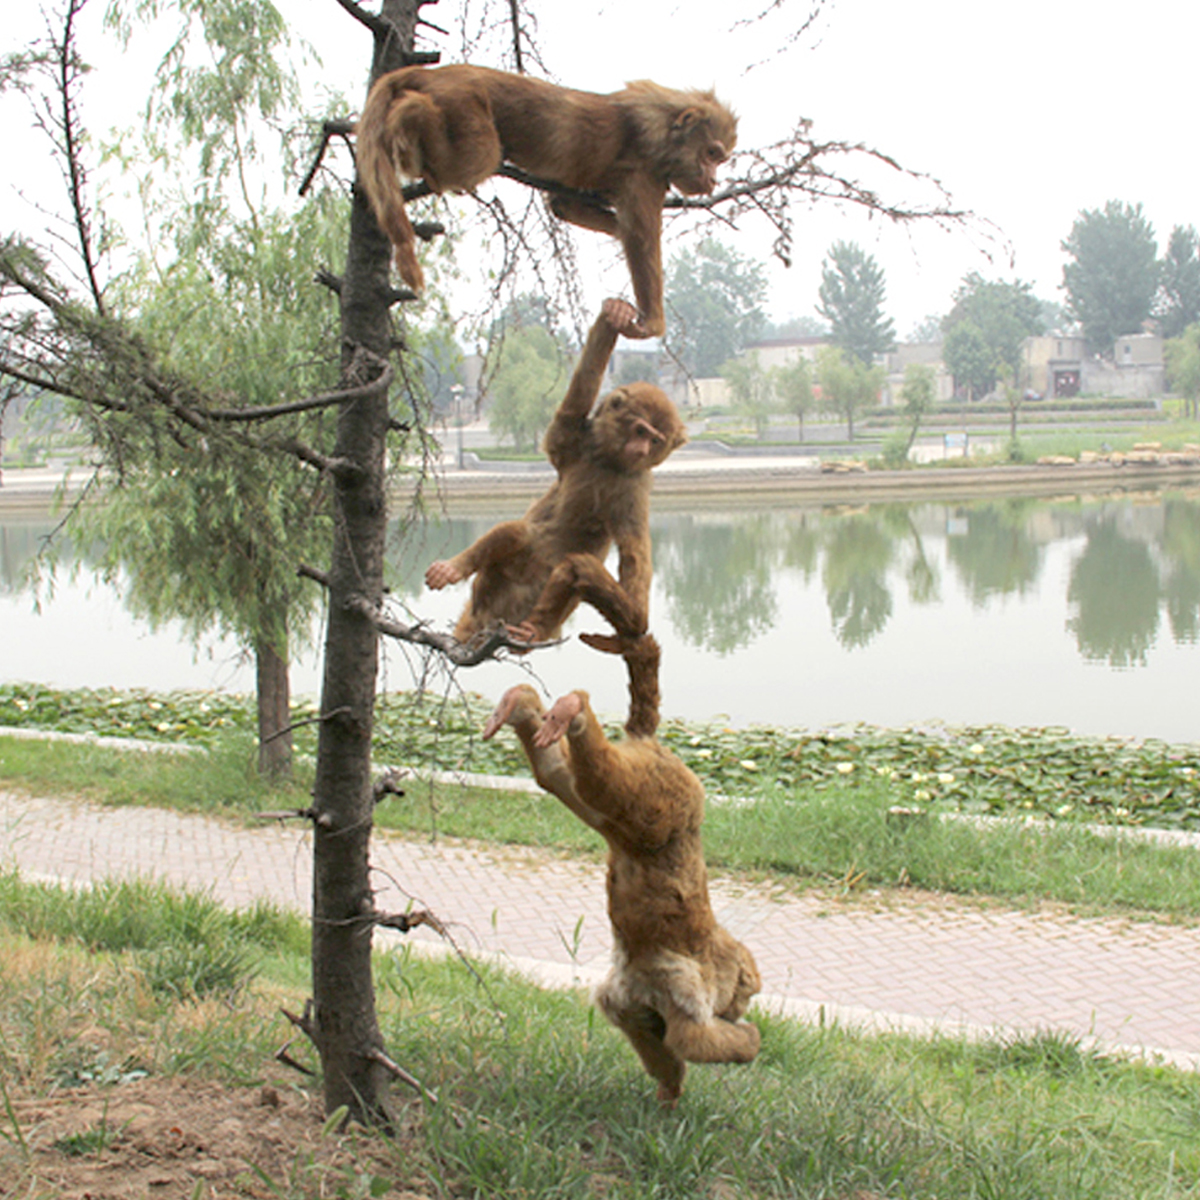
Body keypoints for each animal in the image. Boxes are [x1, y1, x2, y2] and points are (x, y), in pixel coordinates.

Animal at [350, 64, 734, 338]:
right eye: (711, 154)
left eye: (720, 158)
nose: (713, 179)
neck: (664, 135)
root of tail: (434, 72)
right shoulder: (645, 173)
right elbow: (640, 236)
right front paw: (652, 322)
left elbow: (564, 204)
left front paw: (613, 229)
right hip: (463, 104)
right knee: (479, 156)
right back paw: (410, 112)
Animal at [424, 300, 686, 652]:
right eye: (641, 430)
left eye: (656, 440)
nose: (642, 449)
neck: (608, 461)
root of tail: (492, 617)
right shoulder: (571, 443)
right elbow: (577, 397)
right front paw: (612, 319)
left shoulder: (635, 485)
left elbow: (634, 550)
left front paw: (635, 613)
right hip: (492, 585)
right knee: (517, 533)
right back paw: (455, 568)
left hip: (539, 611)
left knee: (568, 576)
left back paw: (532, 632)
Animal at [480, 638, 753, 1104]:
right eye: (746, 994)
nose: (739, 1008)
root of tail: (649, 743)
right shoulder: (692, 984)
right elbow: (695, 1040)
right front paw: (749, 1041)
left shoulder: (631, 999)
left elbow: (648, 1035)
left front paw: (668, 1091)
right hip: (666, 800)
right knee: (607, 780)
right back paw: (573, 709)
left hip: (625, 814)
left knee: (563, 777)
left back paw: (523, 705)